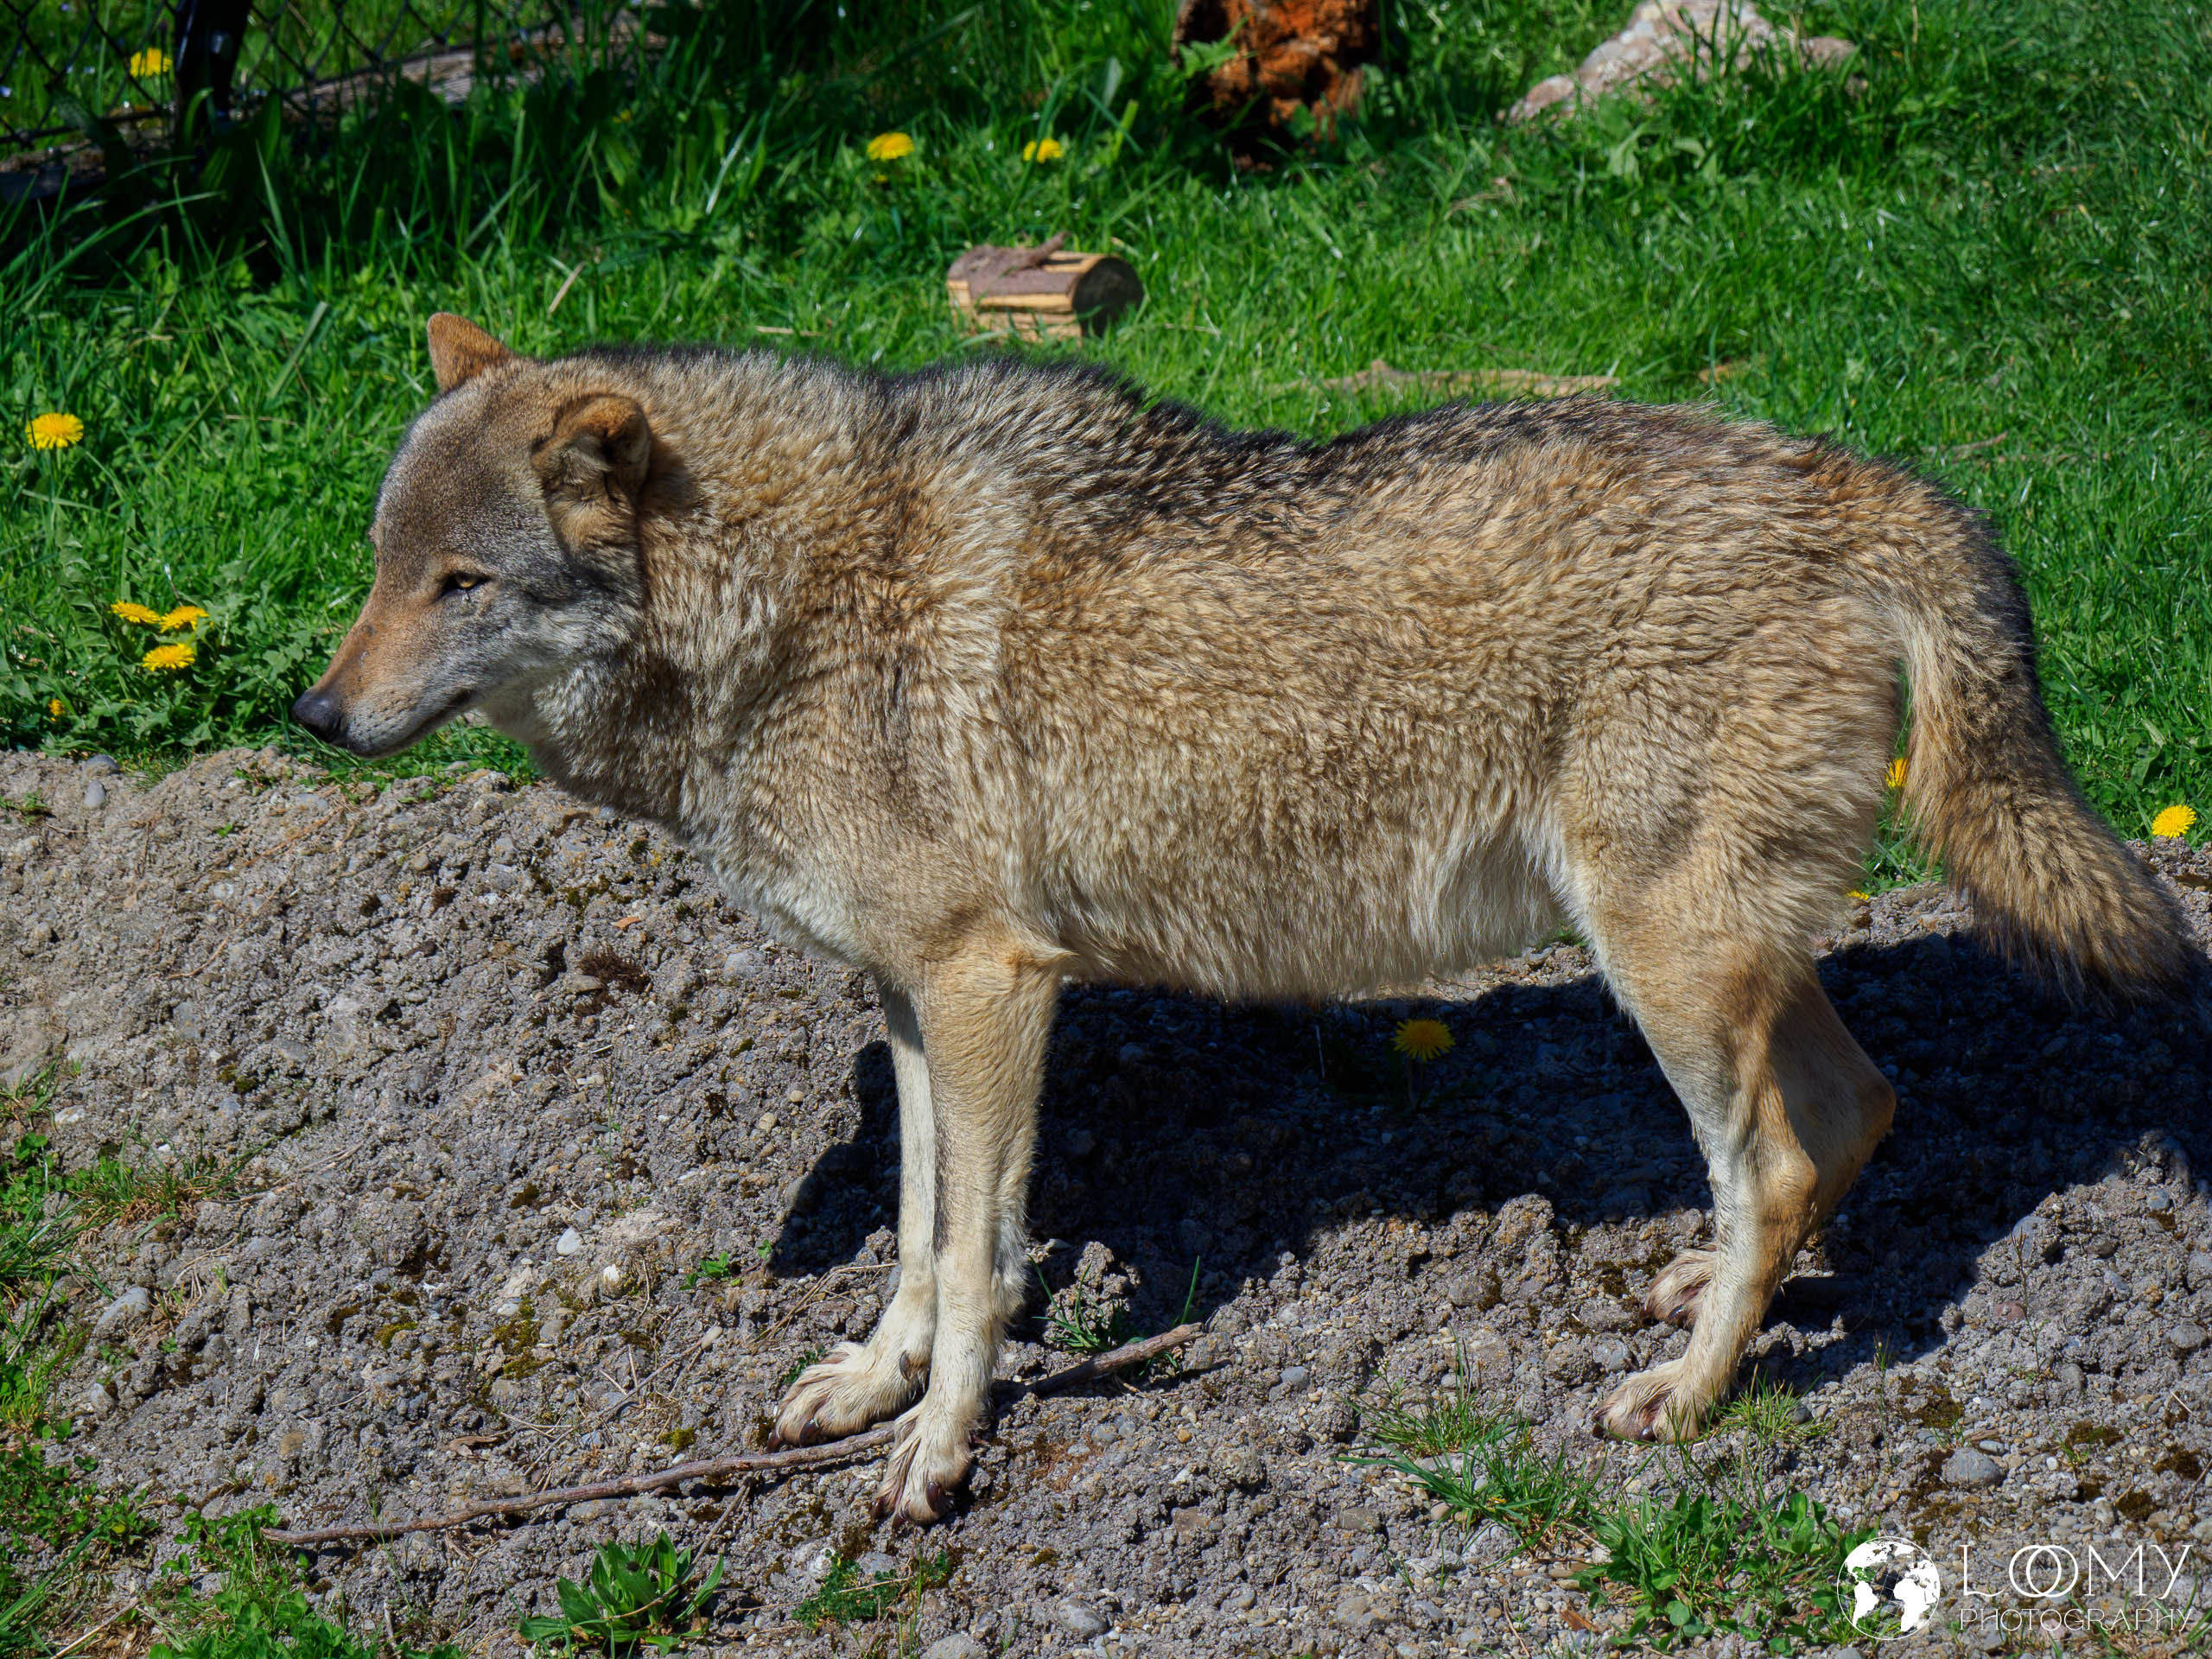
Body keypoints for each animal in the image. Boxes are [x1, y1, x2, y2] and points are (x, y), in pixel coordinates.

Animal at [294, 314, 2195, 1522]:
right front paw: (868, 1386)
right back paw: (1707, 1293)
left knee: (1782, 1156)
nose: (312, 715)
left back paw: (1690, 1394)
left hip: (1662, 965)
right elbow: (915, 1233)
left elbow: (978, 1262)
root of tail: (1850, 476)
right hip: (1713, 959)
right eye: (382, 573)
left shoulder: (994, 990)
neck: (789, 605)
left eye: (459, 584)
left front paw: (937, 1457)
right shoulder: (915, 1005)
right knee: (1850, 1116)